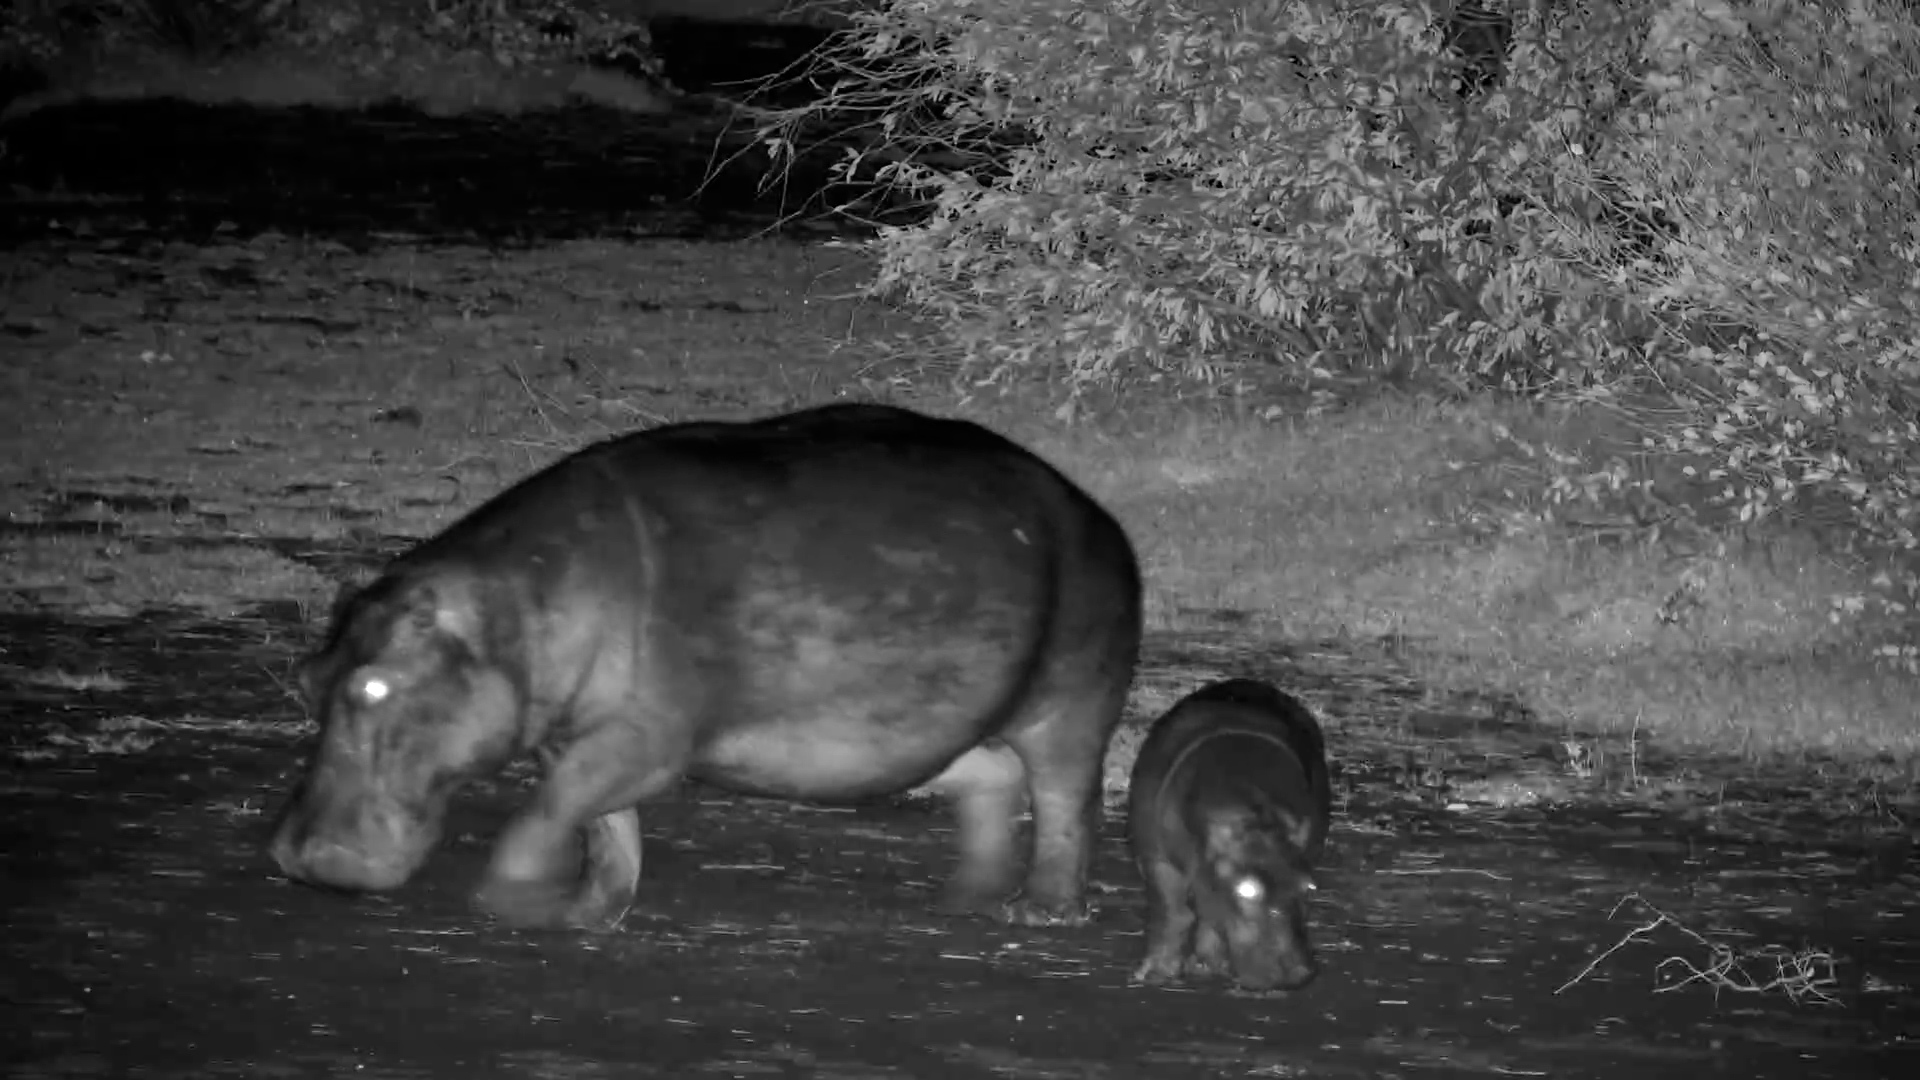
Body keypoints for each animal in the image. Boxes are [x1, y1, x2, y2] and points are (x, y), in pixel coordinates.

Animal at [270, 402, 1142, 933]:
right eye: (309, 679)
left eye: (374, 685)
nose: (291, 855)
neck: (513, 606)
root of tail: (1094, 511)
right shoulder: (575, 735)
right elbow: (601, 829)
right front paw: (585, 914)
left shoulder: (642, 738)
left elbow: (549, 813)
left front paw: (511, 898)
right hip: (939, 734)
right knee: (991, 782)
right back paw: (966, 896)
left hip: (1069, 704)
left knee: (1065, 804)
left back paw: (1038, 911)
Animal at [1127, 679, 1333, 990]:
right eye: (1246, 889)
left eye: (1307, 887)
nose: (1298, 973)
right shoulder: (1156, 859)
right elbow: (1172, 912)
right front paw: (1153, 974)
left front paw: (1206, 965)